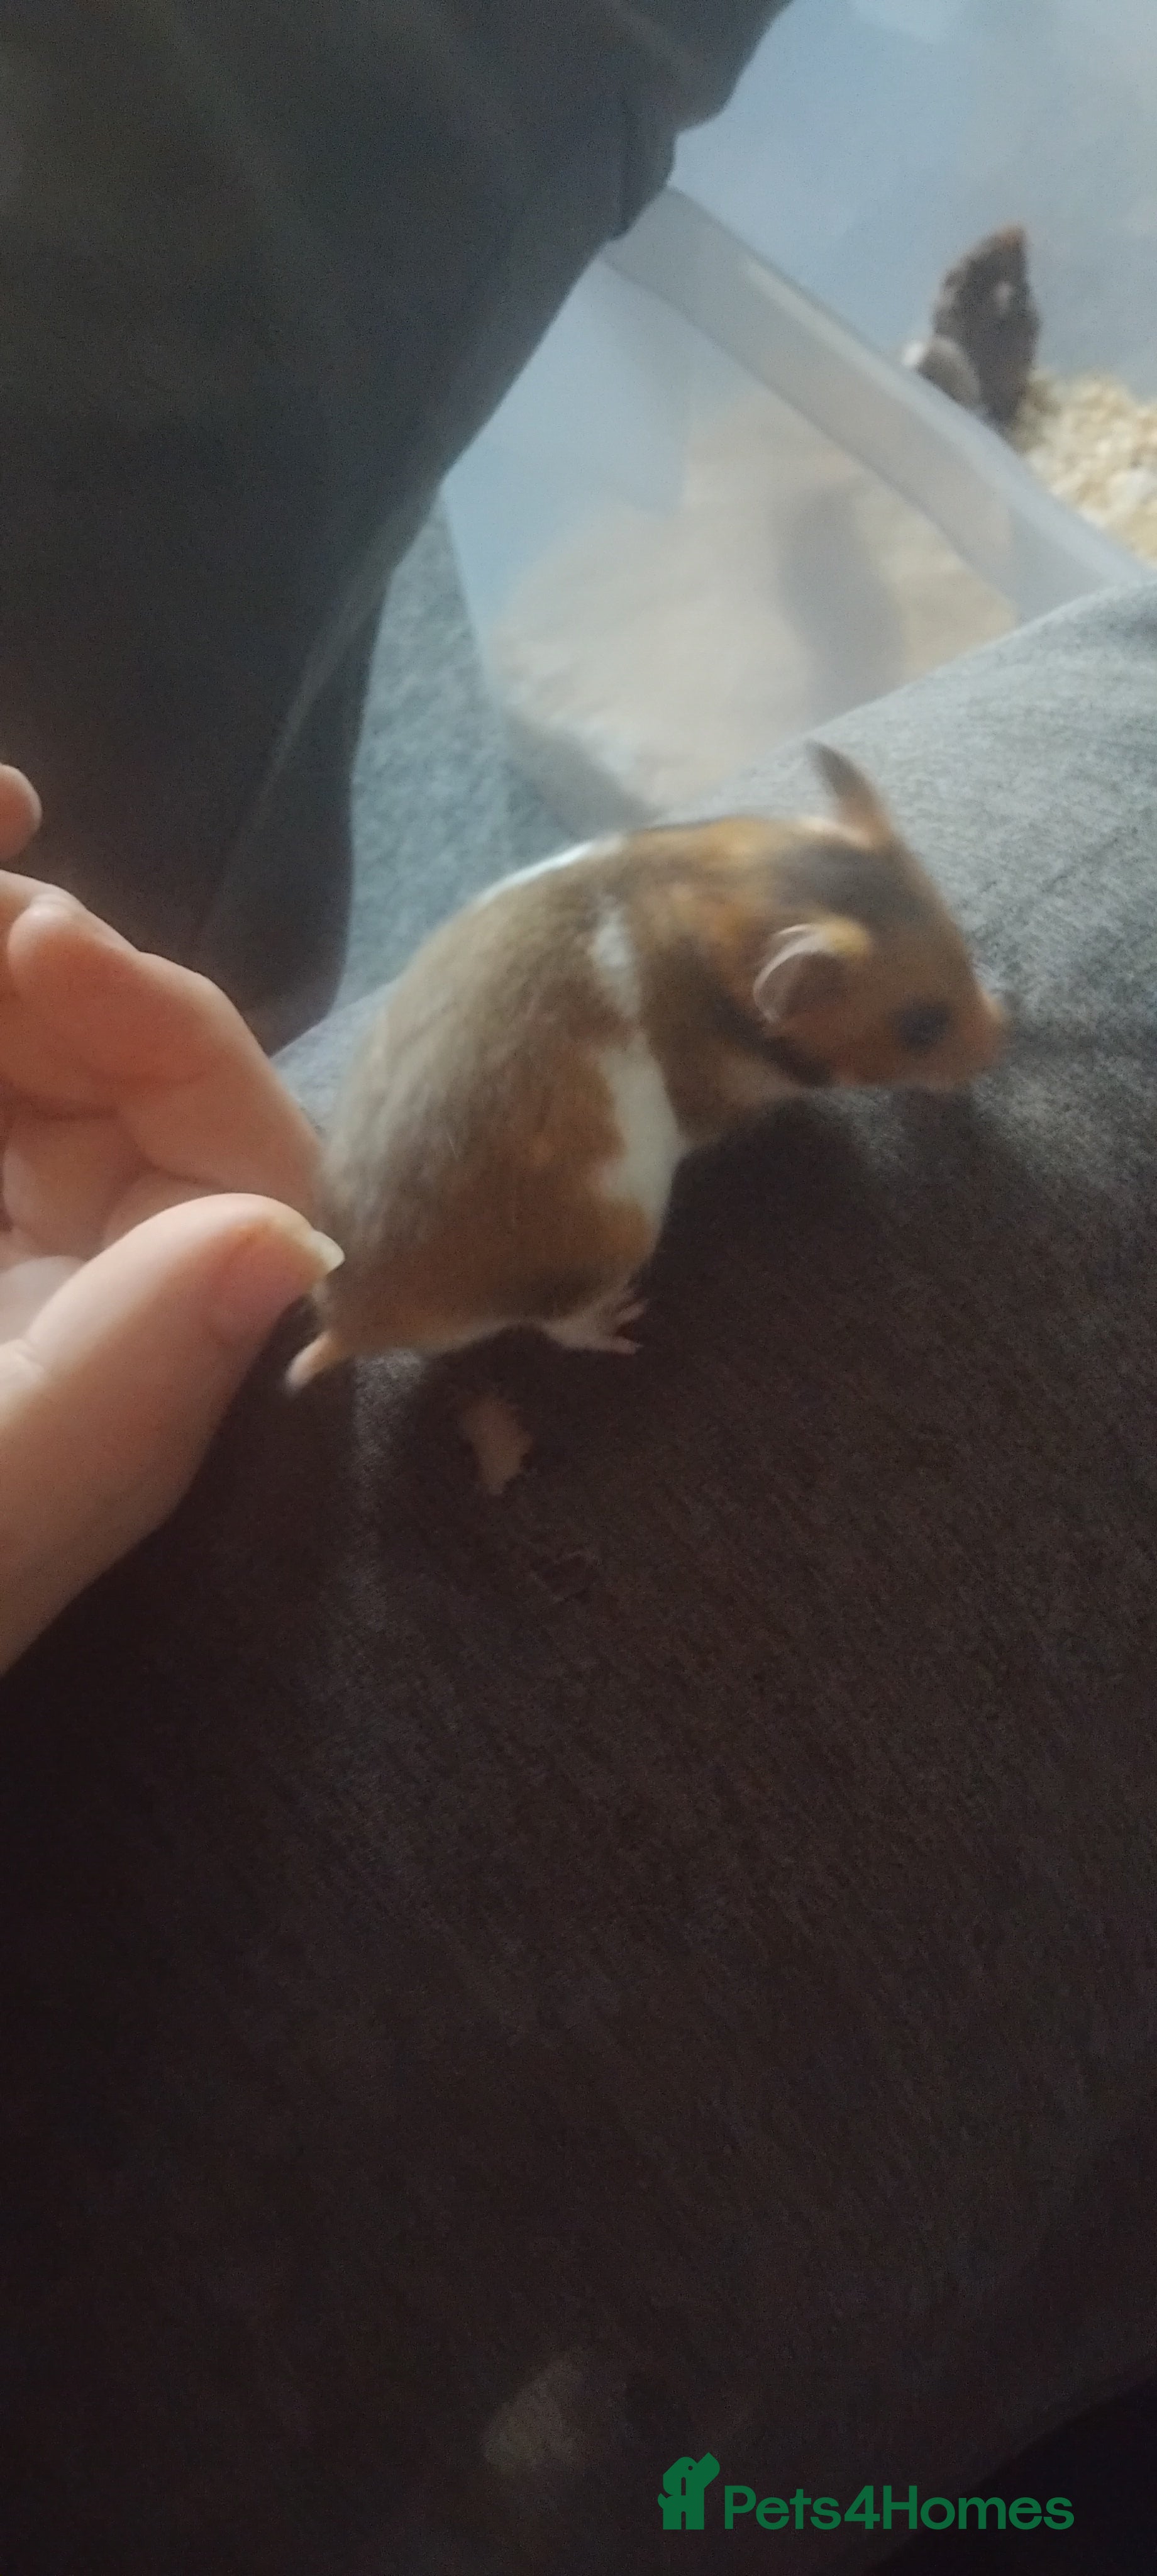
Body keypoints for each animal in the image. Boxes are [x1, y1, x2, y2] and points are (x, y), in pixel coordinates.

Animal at [287, 746, 1005, 1385]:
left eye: (960, 945)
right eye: (921, 1025)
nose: (1002, 1044)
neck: (710, 913)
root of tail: (352, 1322)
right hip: (607, 1239)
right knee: (562, 1326)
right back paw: (624, 1320)